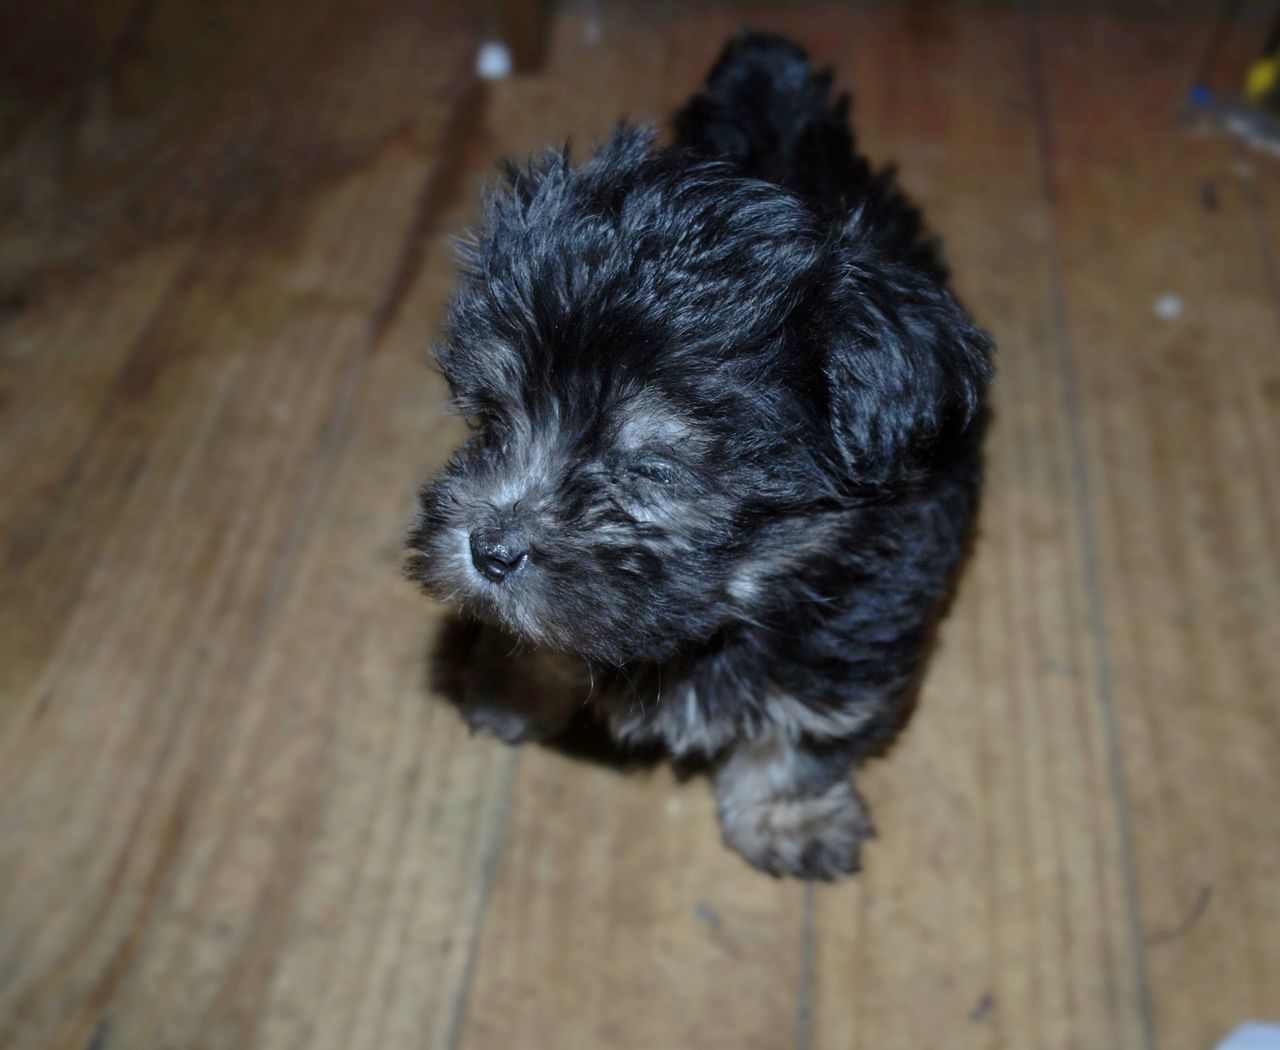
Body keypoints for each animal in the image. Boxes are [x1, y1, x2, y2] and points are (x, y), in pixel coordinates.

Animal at [407, 30, 988, 875]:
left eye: (650, 470)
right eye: (493, 419)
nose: (488, 549)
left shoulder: (855, 621)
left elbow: (803, 719)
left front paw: (787, 813)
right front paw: (513, 682)